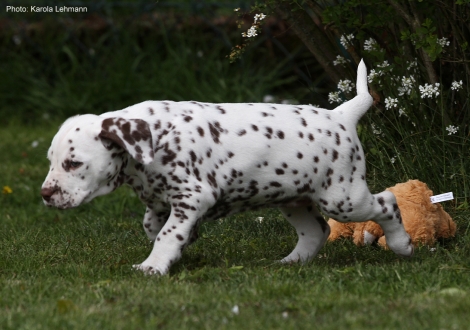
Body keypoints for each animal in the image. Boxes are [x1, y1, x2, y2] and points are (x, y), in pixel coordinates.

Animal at [42, 60, 414, 274]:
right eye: (50, 161)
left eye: (73, 163)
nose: (46, 194)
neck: (155, 139)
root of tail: (341, 115)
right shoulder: (162, 200)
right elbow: (154, 226)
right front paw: (183, 243)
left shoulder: (193, 196)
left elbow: (166, 234)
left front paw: (154, 265)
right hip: (294, 199)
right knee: (316, 231)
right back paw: (291, 263)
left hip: (343, 198)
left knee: (387, 202)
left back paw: (402, 245)